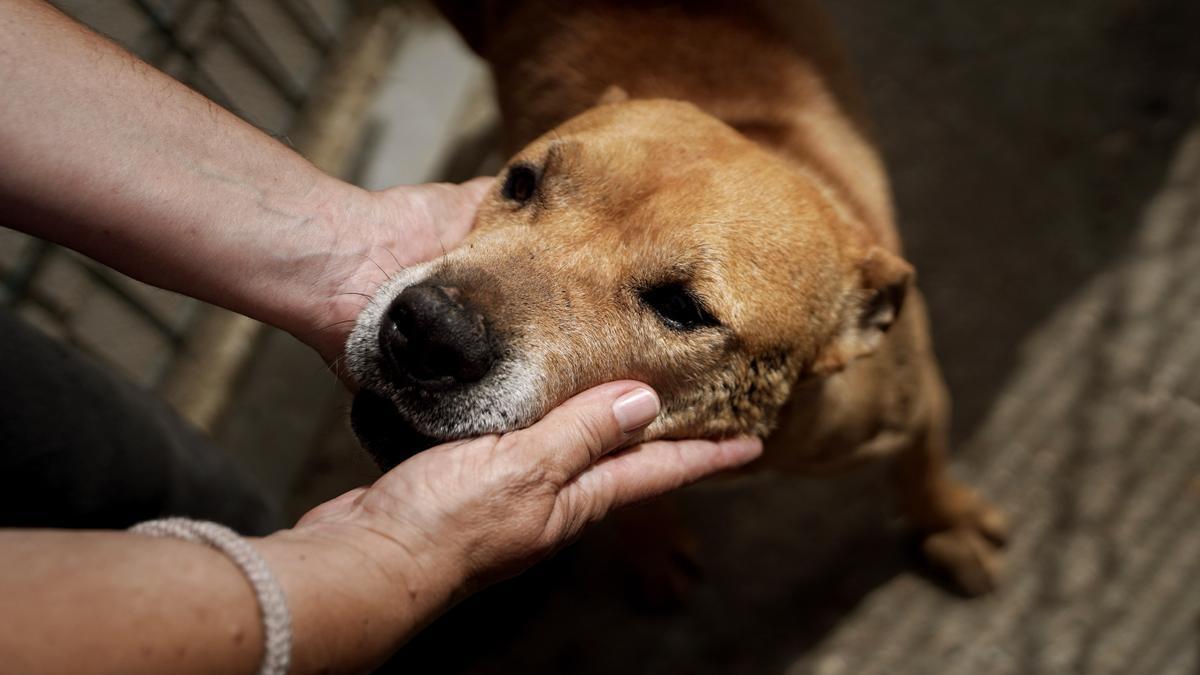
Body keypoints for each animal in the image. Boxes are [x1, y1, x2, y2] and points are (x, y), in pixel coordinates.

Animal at [343, 2, 1008, 595]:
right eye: (522, 182)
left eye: (683, 310)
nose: (430, 331)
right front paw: (652, 546)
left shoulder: (913, 400)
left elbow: (924, 465)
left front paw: (950, 523)